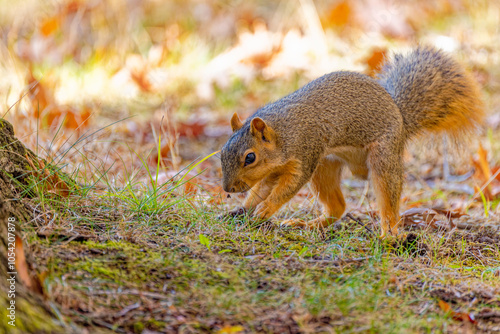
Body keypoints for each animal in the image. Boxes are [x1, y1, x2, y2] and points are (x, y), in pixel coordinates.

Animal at [220, 46, 484, 237]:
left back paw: (389, 234)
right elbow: (261, 189)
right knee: (337, 206)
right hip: (325, 167)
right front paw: (241, 209)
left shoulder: (305, 154)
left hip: (382, 155)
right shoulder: (277, 168)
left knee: (388, 198)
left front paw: (265, 209)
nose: (228, 189)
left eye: (250, 157)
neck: (284, 131)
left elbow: (287, 189)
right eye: (221, 152)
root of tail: (400, 116)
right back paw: (306, 225)